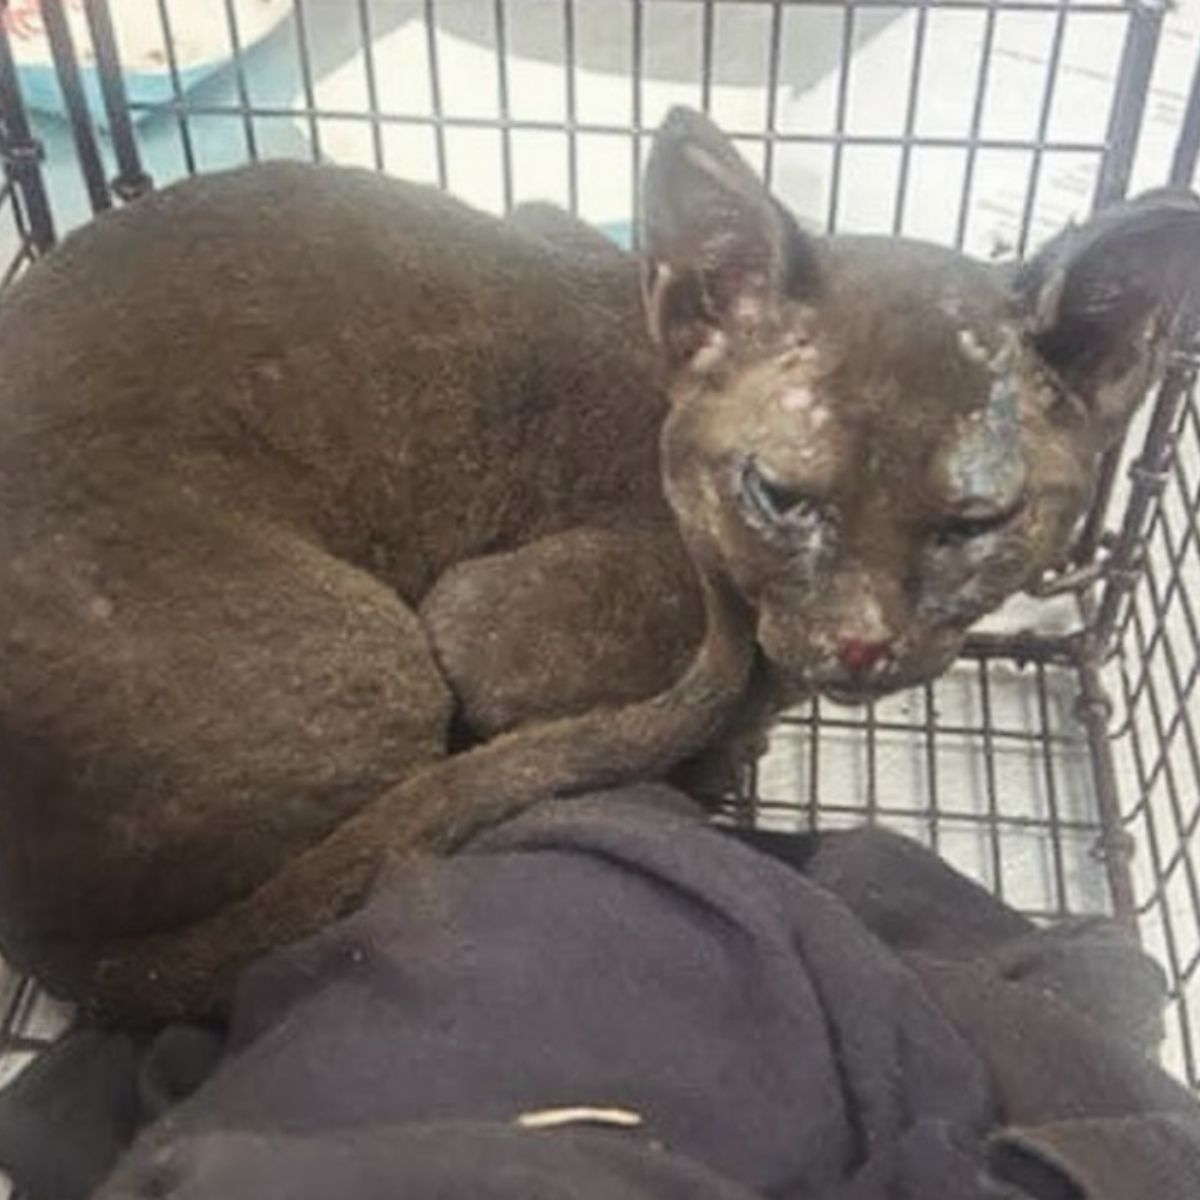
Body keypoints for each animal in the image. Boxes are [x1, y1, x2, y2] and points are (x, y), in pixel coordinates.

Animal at [2, 110, 1200, 1022]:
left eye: (978, 520)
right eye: (780, 494)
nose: (860, 642)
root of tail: (50, 940)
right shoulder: (489, 624)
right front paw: (728, 740)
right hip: (374, 659)